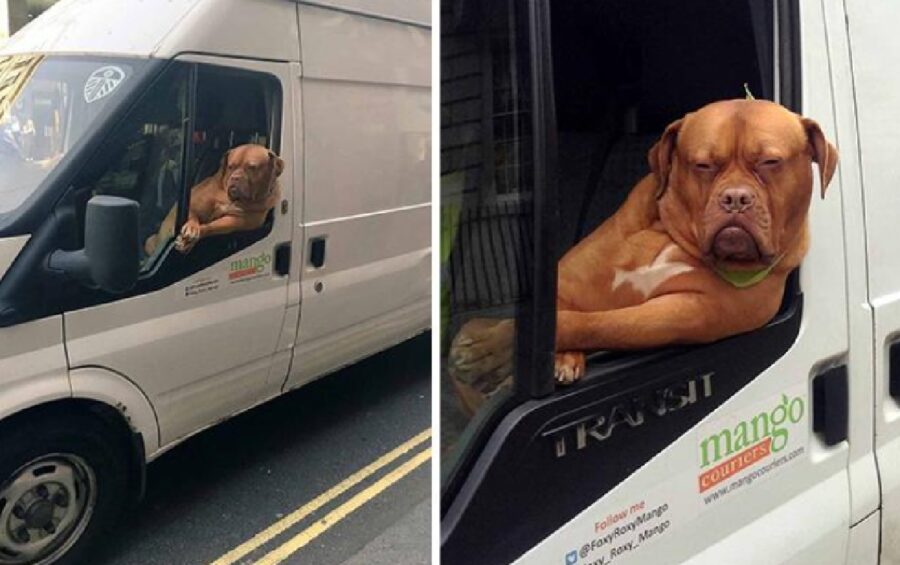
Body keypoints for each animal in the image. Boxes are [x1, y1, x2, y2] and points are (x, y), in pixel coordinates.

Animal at [145, 143, 284, 253]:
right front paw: (192, 227)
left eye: (252, 167)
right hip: (150, 241)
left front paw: (191, 239)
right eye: (231, 166)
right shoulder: (192, 204)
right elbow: (193, 217)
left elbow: (212, 226)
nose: (235, 178)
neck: (230, 199)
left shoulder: (237, 221)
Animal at [448, 98, 836, 414]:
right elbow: (553, 314)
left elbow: (597, 324)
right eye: (703, 165)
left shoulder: (689, 312)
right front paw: (496, 350)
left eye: (770, 162)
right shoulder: (566, 281)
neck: (672, 237)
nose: (736, 198)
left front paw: (497, 354)